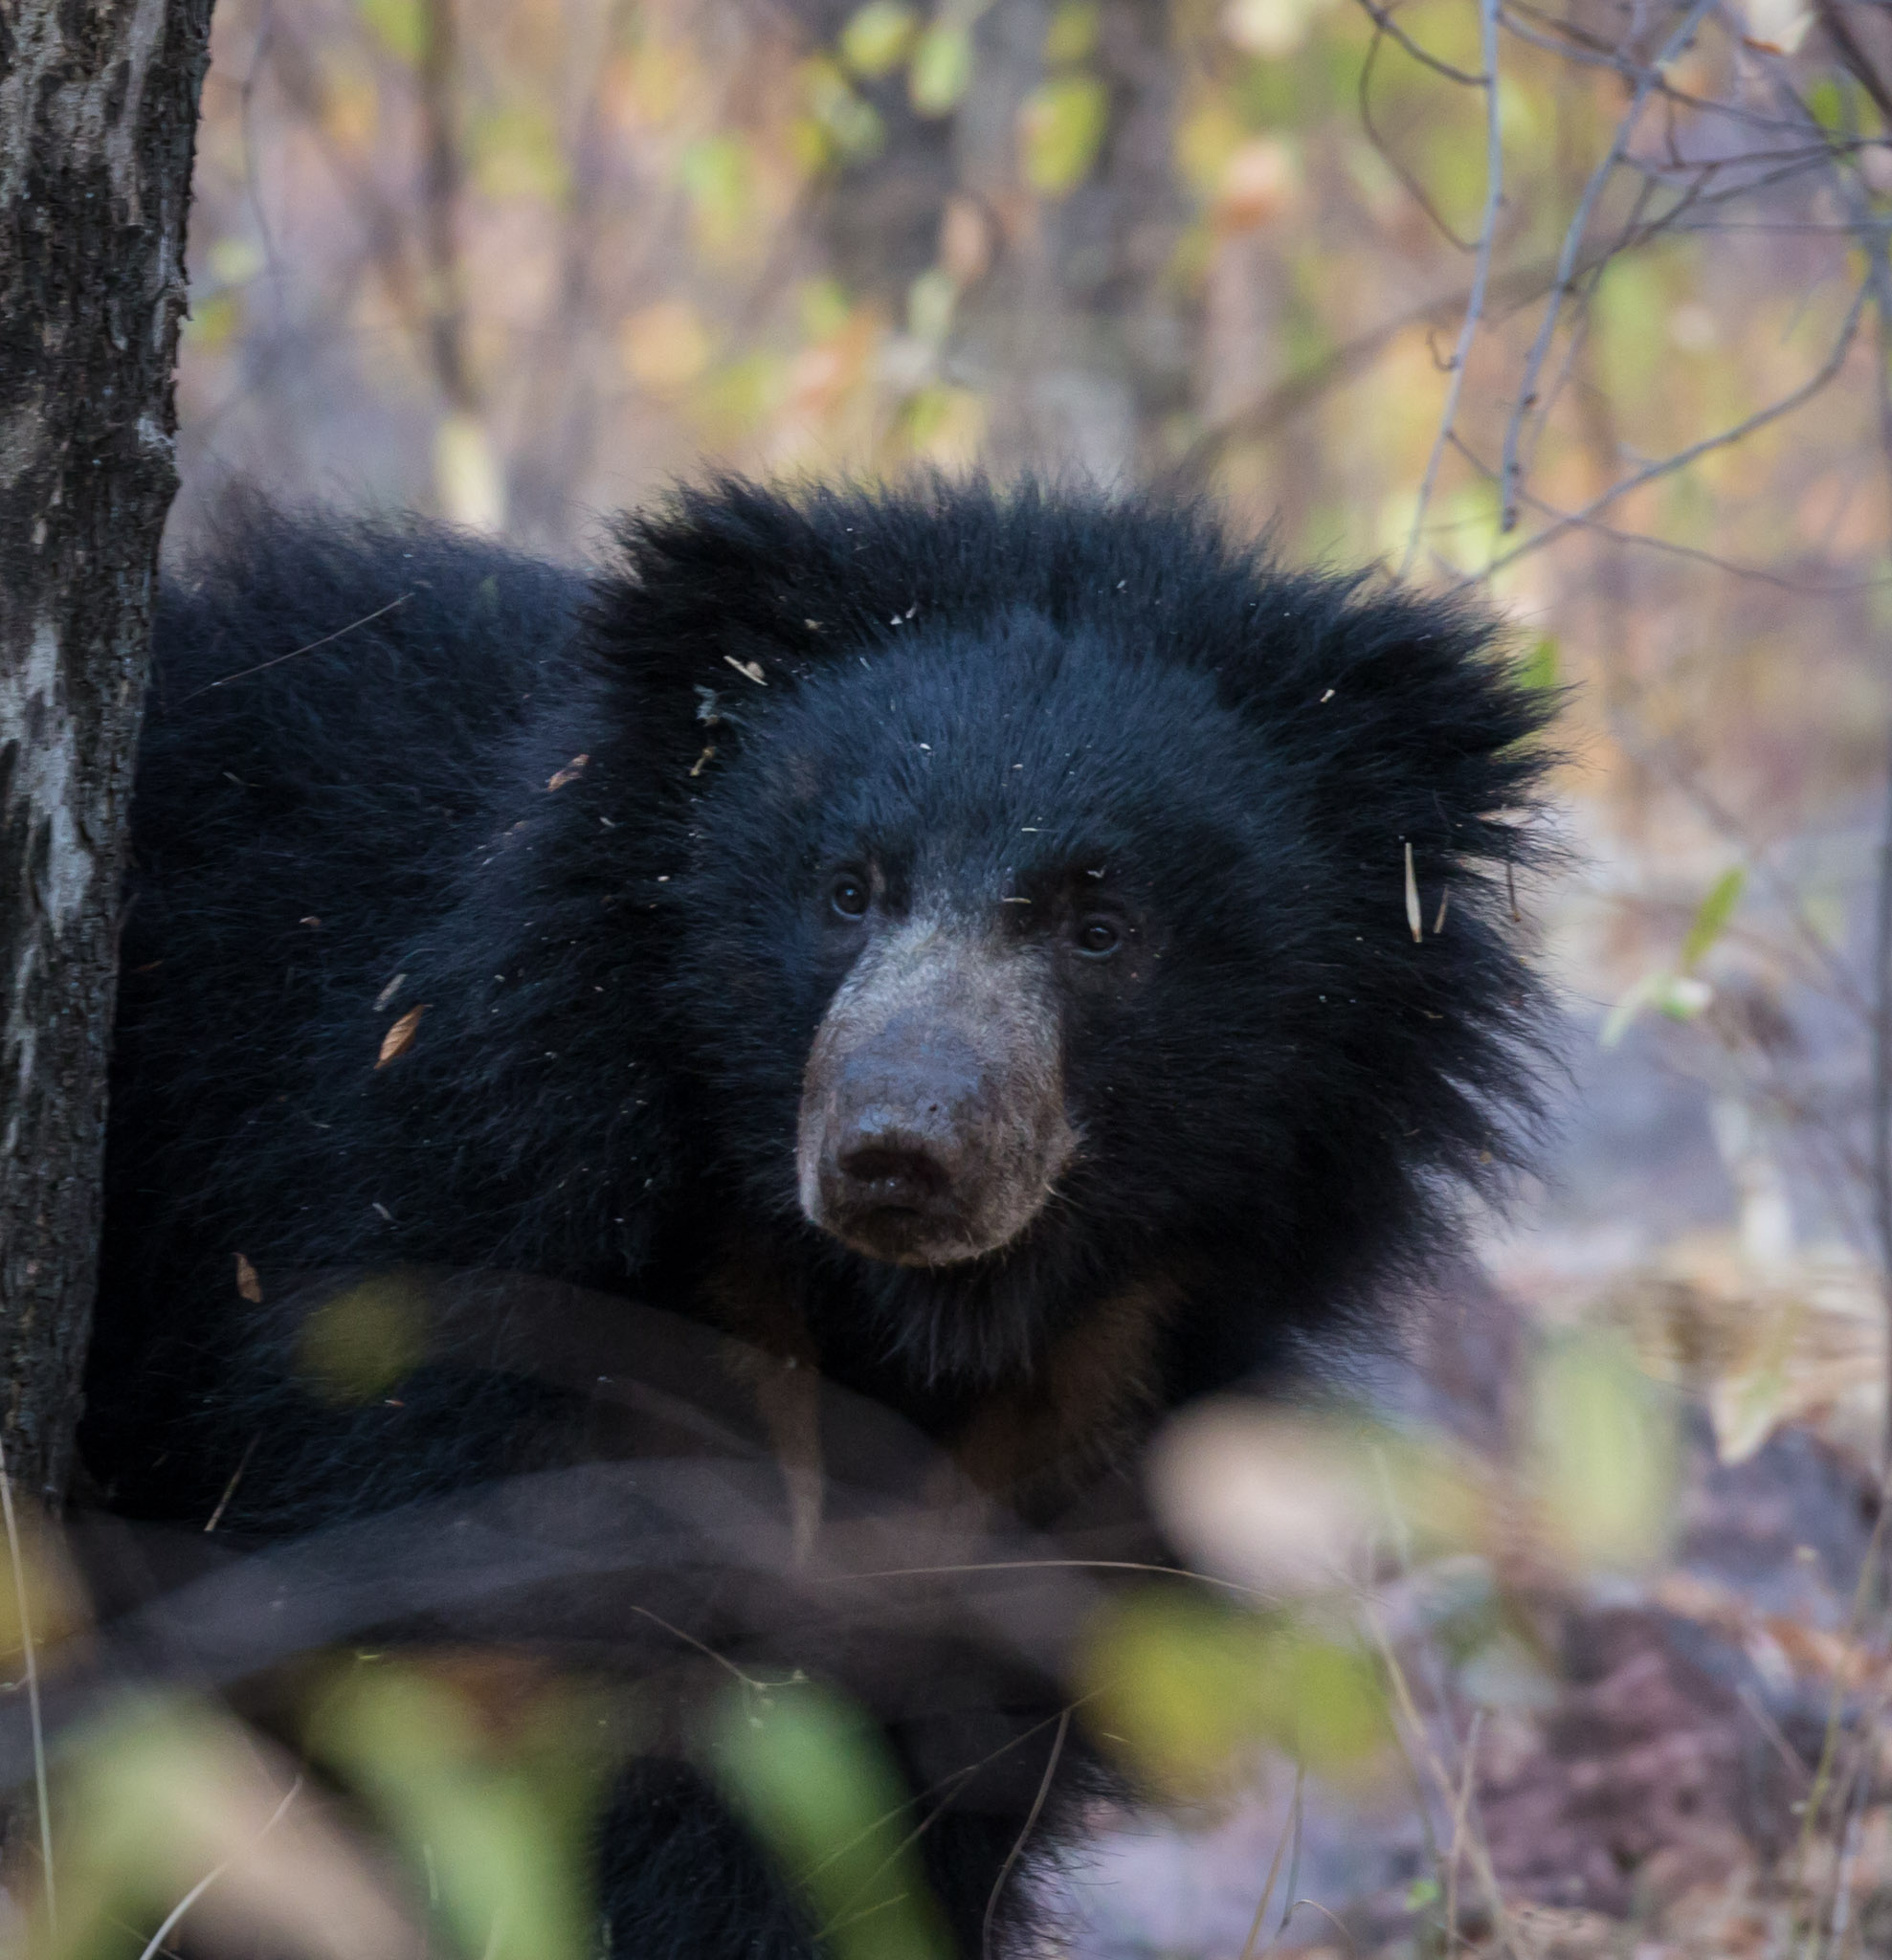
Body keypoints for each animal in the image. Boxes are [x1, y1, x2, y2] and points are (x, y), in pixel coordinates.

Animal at [84, 478, 1552, 1960]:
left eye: (1101, 924)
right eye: (848, 888)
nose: (899, 1151)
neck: (897, 1307)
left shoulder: (1088, 1416)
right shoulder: (461, 1270)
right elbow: (522, 1677)